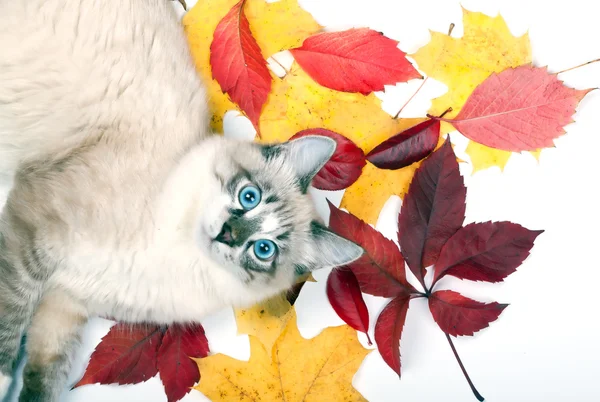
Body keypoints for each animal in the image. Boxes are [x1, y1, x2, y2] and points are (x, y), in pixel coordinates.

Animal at [0, 1, 360, 400]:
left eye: (263, 249)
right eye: (249, 196)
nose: (228, 234)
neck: (173, 250)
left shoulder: (65, 303)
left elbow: (44, 377)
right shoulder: (35, 235)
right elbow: (9, 323)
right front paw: (2, 380)